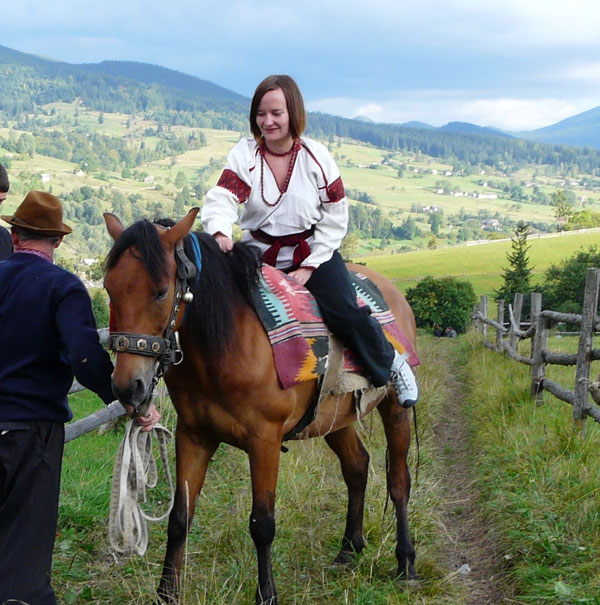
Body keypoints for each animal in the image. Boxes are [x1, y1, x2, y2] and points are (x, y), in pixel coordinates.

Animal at [103, 206, 418, 600]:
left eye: (161, 292)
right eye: (109, 288)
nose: (128, 387)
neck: (226, 344)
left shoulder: (264, 441)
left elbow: (262, 524)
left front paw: (266, 594)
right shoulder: (193, 437)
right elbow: (180, 518)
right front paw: (166, 593)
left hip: (395, 411)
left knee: (399, 481)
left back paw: (405, 561)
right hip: (333, 420)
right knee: (357, 467)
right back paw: (348, 548)